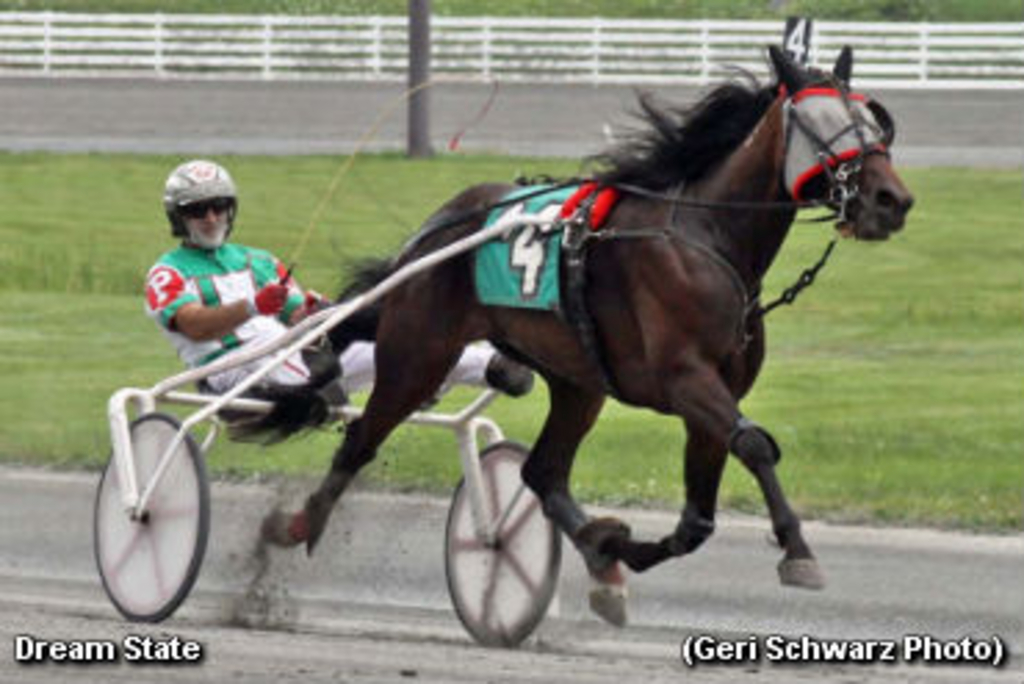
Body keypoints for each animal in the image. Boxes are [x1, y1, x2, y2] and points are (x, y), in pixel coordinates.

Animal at [251, 45, 917, 626]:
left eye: (875, 122)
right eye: (827, 124)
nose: (893, 199)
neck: (706, 238)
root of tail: (438, 227)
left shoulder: (712, 396)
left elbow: (697, 522)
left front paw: (615, 549)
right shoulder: (686, 379)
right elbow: (755, 445)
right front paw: (798, 552)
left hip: (576, 379)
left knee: (543, 473)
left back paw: (594, 553)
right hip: (419, 350)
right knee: (361, 437)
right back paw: (292, 527)